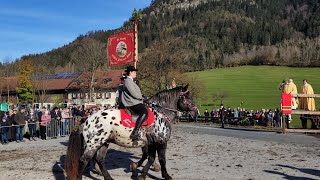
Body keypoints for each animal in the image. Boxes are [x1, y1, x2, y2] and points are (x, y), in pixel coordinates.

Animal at [65, 84, 198, 180]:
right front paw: (166, 176)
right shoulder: (161, 142)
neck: (160, 113)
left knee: (99, 159)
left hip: (103, 143)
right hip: (94, 143)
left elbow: (150, 158)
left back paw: (108, 178)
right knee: (83, 161)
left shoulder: (151, 143)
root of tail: (88, 118)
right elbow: (161, 159)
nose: (195, 113)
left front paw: (141, 173)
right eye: (187, 98)